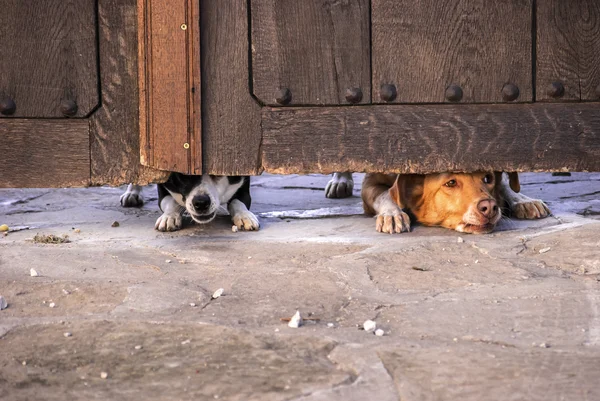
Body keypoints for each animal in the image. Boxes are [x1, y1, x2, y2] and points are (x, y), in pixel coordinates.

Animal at [364, 170, 552, 233]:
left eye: (487, 178)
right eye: (451, 183)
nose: (490, 207)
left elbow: (504, 183)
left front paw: (521, 199)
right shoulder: (370, 182)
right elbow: (386, 194)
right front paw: (392, 214)